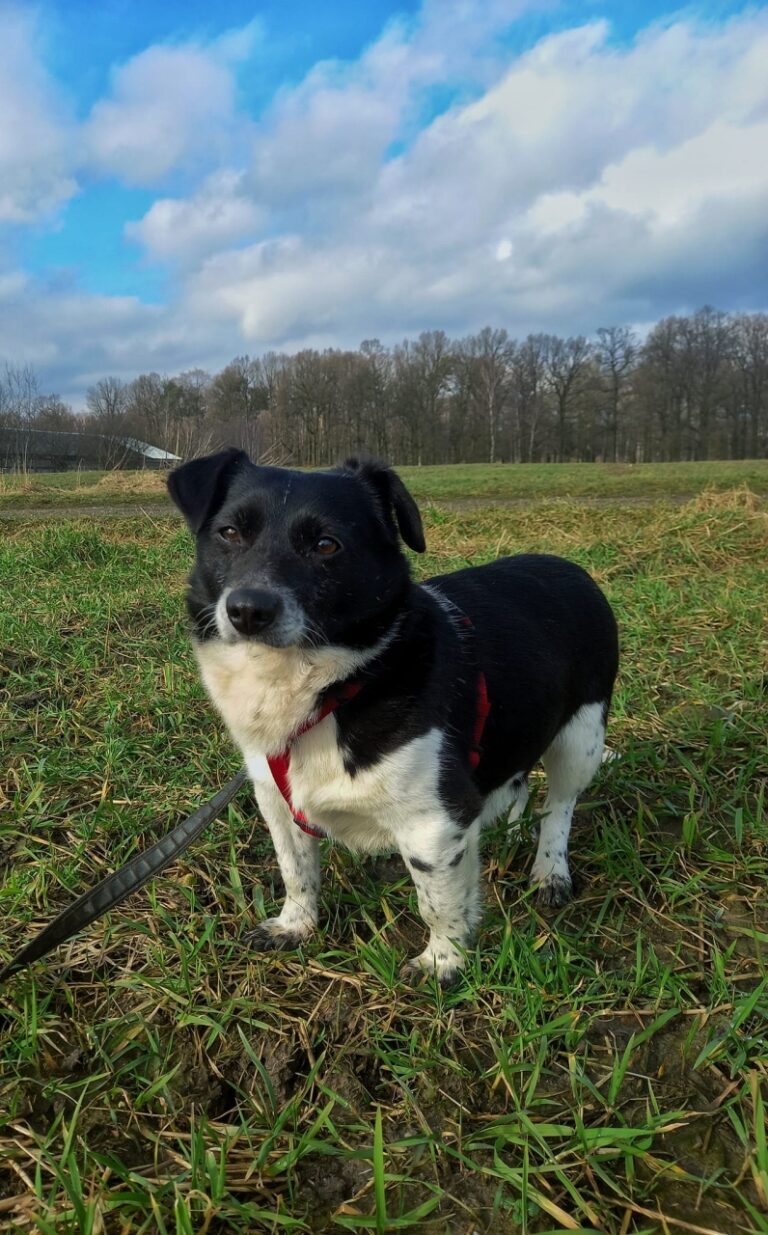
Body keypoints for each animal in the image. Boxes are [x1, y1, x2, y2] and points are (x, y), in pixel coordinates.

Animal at [166, 449, 619, 978]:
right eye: (230, 533)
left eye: (326, 544)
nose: (248, 611)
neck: (336, 688)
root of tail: (571, 567)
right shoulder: (277, 801)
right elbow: (296, 870)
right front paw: (296, 925)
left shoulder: (433, 823)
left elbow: (437, 901)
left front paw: (443, 961)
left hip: (580, 738)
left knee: (559, 806)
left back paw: (550, 870)